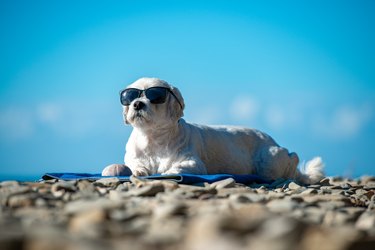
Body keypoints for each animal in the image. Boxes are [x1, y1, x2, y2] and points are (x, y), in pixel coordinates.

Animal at [101, 77, 324, 185]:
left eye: (154, 96)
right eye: (130, 97)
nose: (137, 104)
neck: (153, 138)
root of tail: (275, 143)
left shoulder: (193, 164)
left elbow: (174, 169)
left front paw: (165, 172)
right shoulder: (133, 157)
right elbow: (135, 165)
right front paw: (139, 171)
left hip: (270, 160)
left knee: (289, 164)